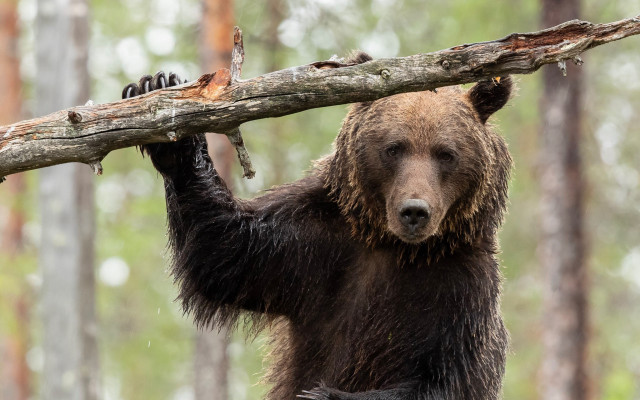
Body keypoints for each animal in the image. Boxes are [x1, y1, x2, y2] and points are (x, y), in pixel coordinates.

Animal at [122, 52, 513, 400]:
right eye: (394, 148)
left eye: (446, 153)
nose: (414, 211)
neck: (392, 245)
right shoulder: (313, 245)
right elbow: (223, 250)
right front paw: (160, 97)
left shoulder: (460, 291)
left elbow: (443, 380)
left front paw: (322, 394)